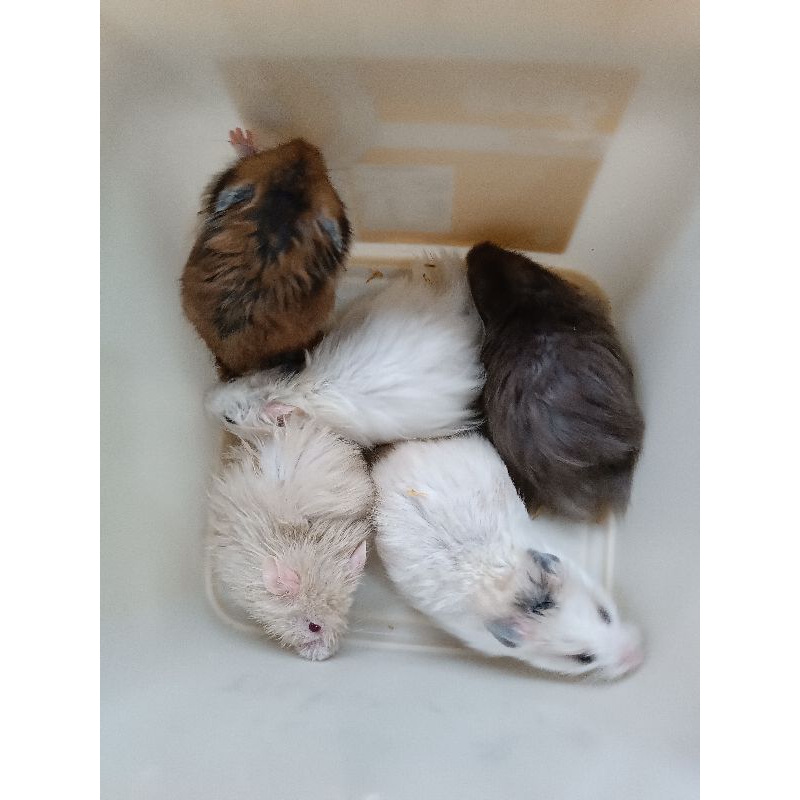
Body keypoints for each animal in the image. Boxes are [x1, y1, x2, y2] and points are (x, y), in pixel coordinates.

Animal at [181, 129, 351, 379]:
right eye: (304, 163)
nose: (304, 142)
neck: (279, 216)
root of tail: (240, 364)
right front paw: (240, 135)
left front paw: (239, 136)